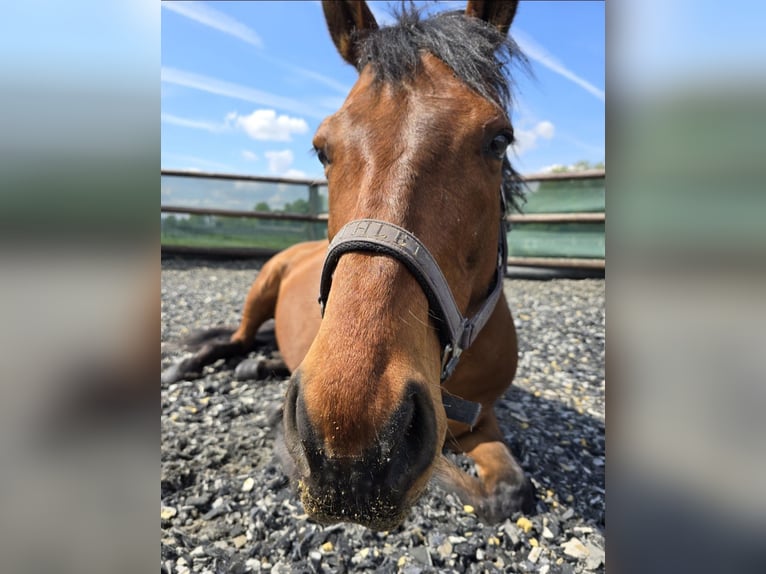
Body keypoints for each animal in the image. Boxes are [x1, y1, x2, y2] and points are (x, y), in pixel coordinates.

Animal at [163, 0, 535, 530]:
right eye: (321, 148)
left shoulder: (484, 419)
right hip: (260, 289)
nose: (351, 436)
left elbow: (508, 492)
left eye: (499, 140)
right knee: (233, 339)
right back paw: (187, 366)